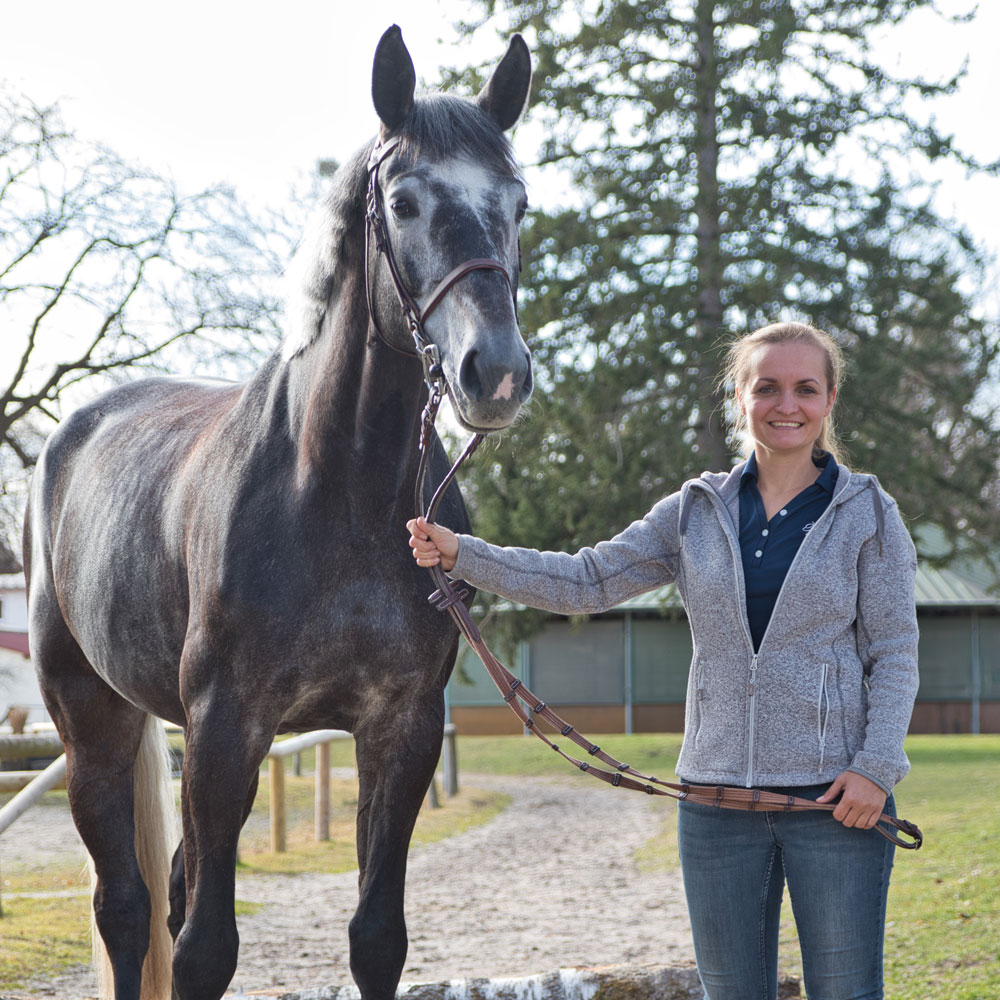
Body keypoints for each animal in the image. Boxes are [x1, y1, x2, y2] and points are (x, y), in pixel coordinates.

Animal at [23, 25, 536, 1000]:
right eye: (405, 201)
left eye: (517, 202)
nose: (496, 373)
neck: (340, 494)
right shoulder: (227, 729)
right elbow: (204, 950)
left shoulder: (401, 728)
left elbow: (377, 936)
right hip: (92, 719)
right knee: (127, 907)